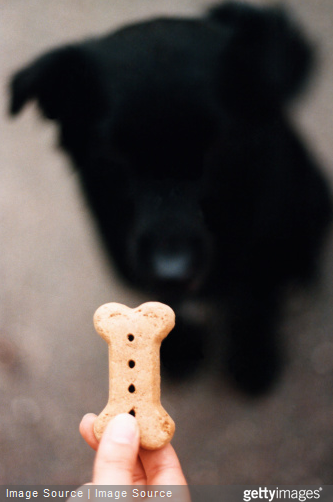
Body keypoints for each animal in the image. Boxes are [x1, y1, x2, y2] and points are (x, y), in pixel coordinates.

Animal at [9, 1, 330, 394]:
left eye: (217, 146)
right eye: (113, 154)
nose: (172, 271)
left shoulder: (260, 247)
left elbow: (251, 301)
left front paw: (252, 357)